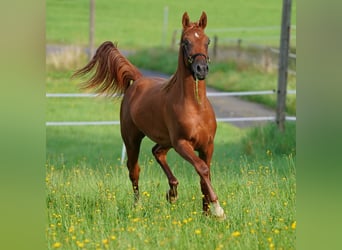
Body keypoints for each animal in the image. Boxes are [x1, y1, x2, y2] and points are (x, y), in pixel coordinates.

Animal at [73, 11, 224, 218]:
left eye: (207, 41)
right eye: (185, 42)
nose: (201, 69)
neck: (196, 107)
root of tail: (138, 80)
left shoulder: (207, 145)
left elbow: (204, 175)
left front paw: (206, 213)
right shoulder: (182, 144)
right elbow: (201, 168)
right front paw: (218, 209)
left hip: (165, 140)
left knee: (157, 152)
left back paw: (172, 193)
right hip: (132, 139)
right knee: (134, 170)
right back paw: (139, 205)